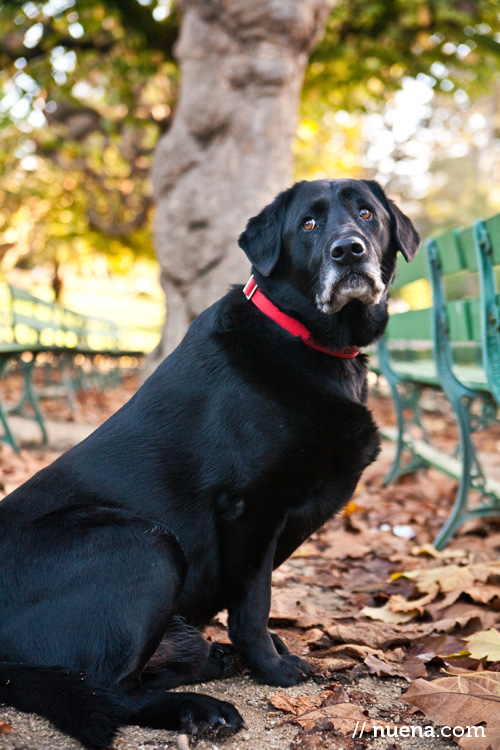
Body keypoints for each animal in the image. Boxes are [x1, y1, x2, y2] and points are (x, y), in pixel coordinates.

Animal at [0, 179, 418, 748]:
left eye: (367, 214)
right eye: (308, 224)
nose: (348, 250)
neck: (305, 340)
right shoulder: (249, 508)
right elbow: (253, 604)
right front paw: (272, 667)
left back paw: (209, 664)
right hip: (143, 544)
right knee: (107, 687)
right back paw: (201, 709)